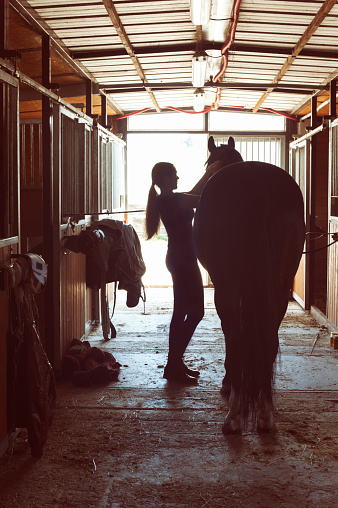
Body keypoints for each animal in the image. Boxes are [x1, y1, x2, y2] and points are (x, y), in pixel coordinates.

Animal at [194, 135, 304, 432]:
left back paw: (234, 416)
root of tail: (255, 186)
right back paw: (265, 413)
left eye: (207, 163)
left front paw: (228, 382)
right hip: (279, 289)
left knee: (234, 337)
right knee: (270, 337)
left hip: (228, 289)